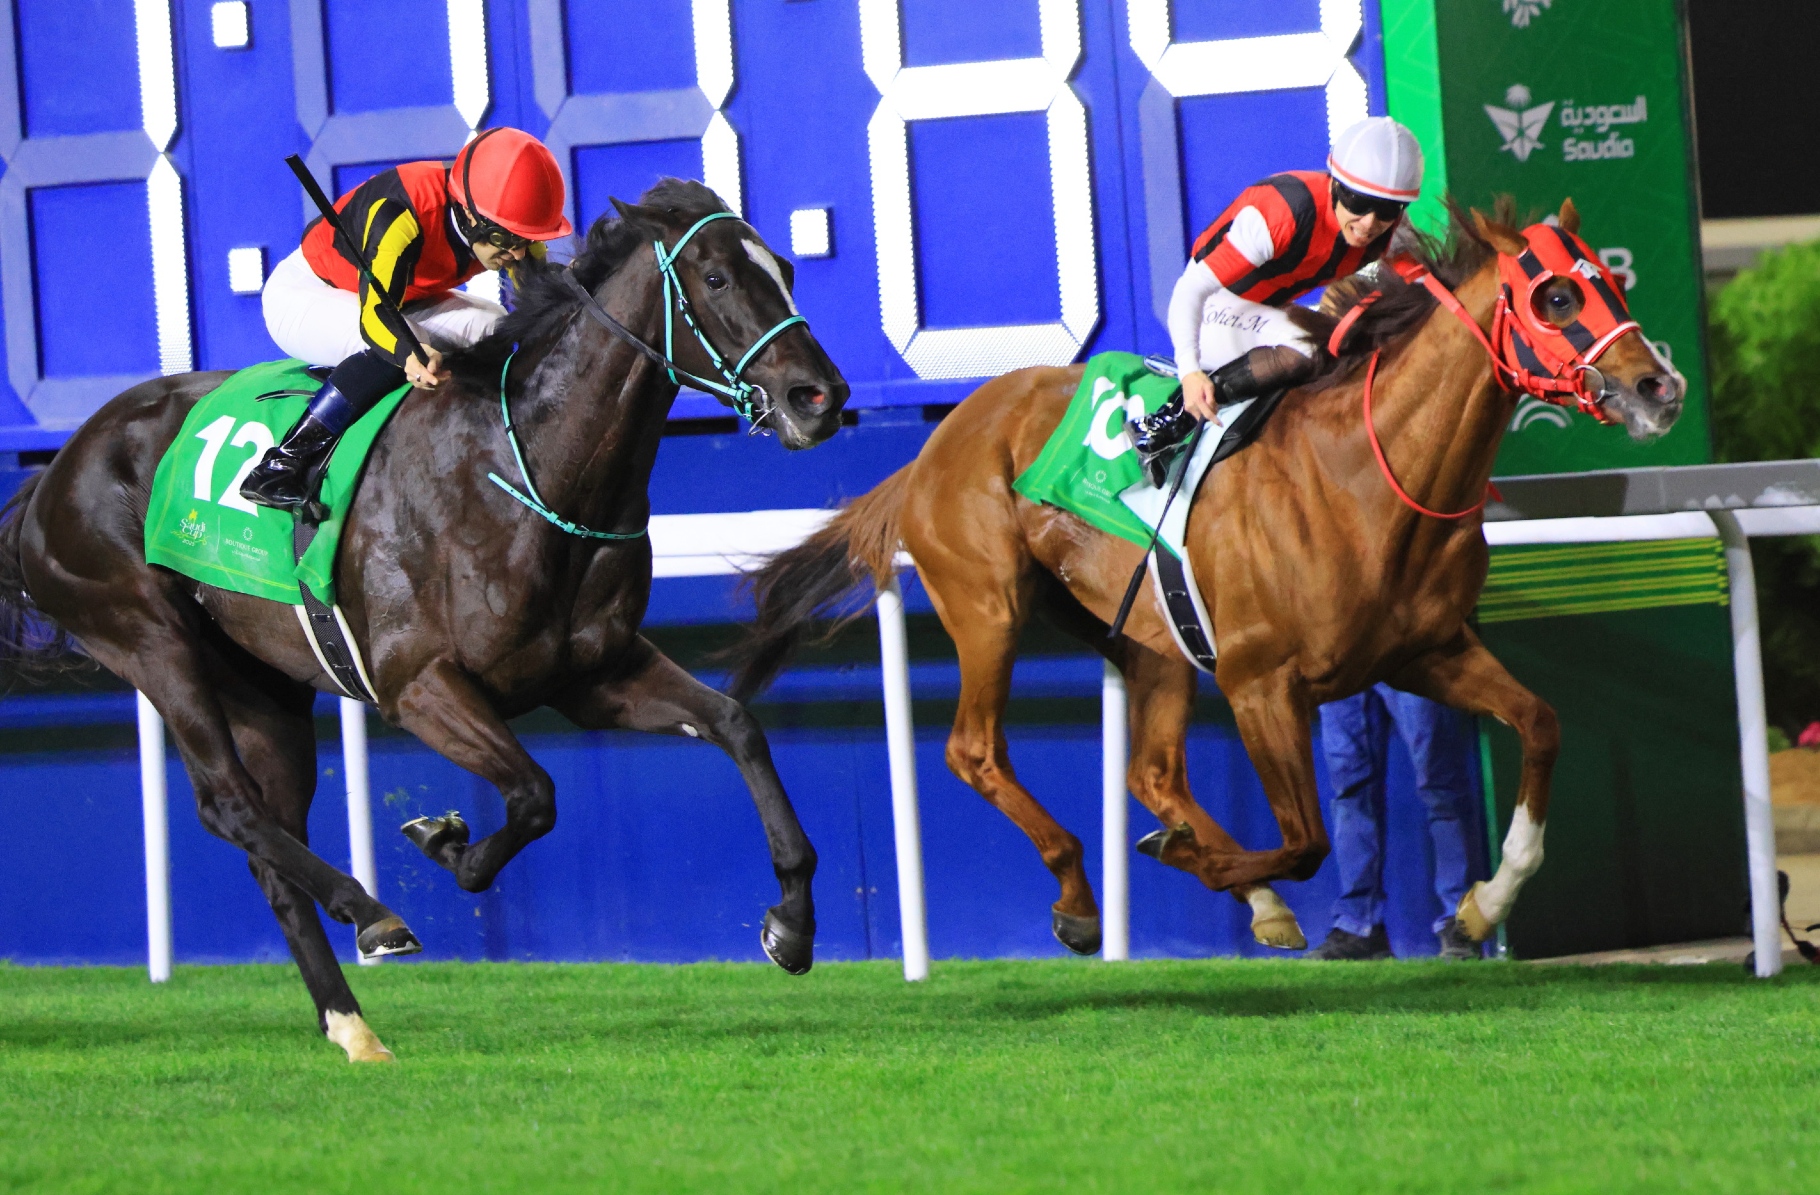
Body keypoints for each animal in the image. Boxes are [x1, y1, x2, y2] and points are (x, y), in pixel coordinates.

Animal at [0, 178, 848, 1061]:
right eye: (716, 279)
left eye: (785, 268)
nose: (819, 397)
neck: (527, 466)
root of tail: (57, 469)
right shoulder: (418, 685)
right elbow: (535, 793)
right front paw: (446, 842)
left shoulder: (595, 674)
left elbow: (735, 725)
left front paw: (792, 924)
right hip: (149, 637)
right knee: (226, 804)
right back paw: (373, 916)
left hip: (262, 683)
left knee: (270, 842)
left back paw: (351, 1024)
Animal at [723, 199, 1683, 956]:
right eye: (1556, 296)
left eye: (1612, 281)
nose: (1659, 387)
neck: (1367, 476)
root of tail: (937, 442)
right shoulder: (1263, 683)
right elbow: (1304, 841)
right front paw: (1190, 858)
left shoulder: (1426, 650)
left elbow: (1541, 723)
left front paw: (1482, 906)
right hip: (988, 605)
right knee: (976, 750)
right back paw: (1084, 896)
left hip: (1147, 636)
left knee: (1151, 771)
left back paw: (1240, 893)